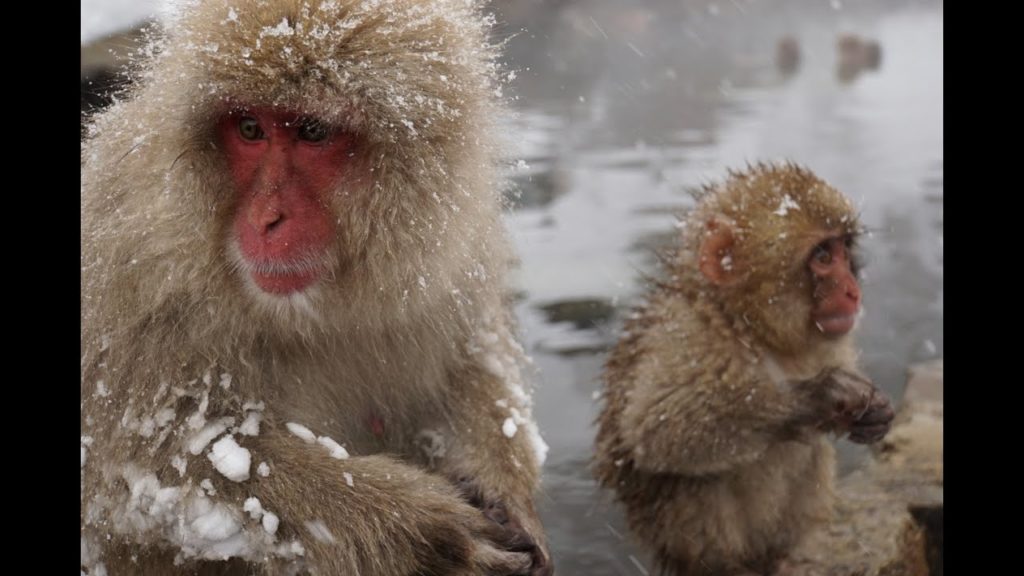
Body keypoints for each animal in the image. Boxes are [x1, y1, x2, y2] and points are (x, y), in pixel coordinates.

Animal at [80, 1, 553, 575]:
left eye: (312, 131)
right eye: (250, 128)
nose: (266, 218)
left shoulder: (457, 247)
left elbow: (471, 364)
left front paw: (500, 491)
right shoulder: (123, 263)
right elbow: (152, 465)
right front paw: (426, 535)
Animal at [594, 163, 894, 576]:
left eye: (843, 249)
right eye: (822, 256)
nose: (852, 291)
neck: (752, 329)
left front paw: (873, 413)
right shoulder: (686, 338)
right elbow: (658, 427)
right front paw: (819, 396)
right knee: (692, 476)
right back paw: (725, 566)